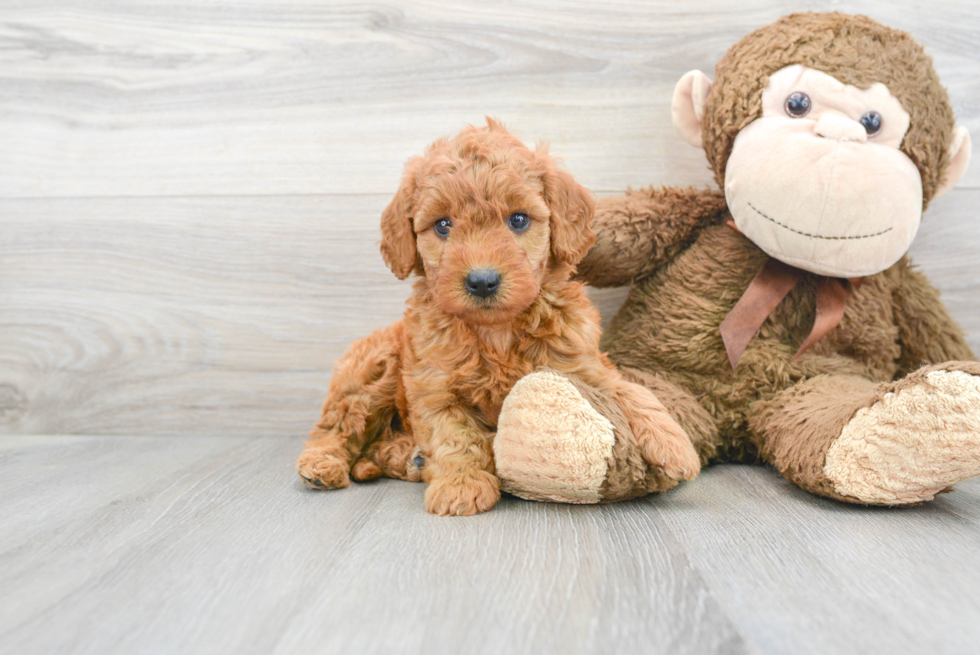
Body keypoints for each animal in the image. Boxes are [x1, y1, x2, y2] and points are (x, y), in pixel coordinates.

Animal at [294, 120, 700, 516]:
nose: (482, 281)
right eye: (442, 225)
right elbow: (455, 436)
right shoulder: (434, 388)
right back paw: (323, 464)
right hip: (376, 369)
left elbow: (630, 390)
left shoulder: (582, 364)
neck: (498, 332)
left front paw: (675, 444)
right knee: (339, 426)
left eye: (518, 220)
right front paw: (461, 485)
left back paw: (406, 457)